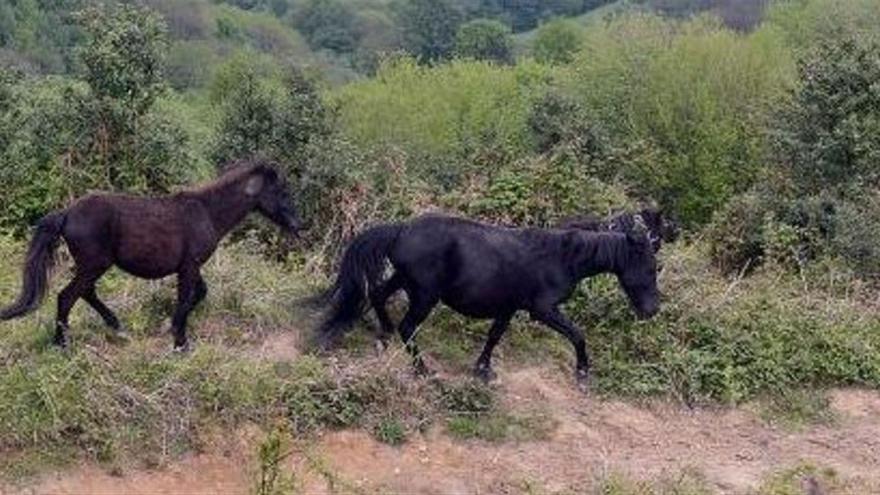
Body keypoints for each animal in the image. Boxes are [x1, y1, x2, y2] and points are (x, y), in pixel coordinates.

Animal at [0, 158, 300, 348]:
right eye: (281, 191)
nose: (299, 225)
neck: (206, 211)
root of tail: (67, 213)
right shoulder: (189, 267)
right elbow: (185, 299)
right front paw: (180, 343)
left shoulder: (191, 267)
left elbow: (199, 294)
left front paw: (171, 328)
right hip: (94, 265)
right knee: (67, 297)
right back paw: (61, 344)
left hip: (93, 266)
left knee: (85, 293)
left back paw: (116, 327)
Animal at [318, 215, 660, 386]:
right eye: (650, 268)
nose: (652, 309)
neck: (563, 258)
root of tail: (402, 230)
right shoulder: (543, 309)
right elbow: (578, 335)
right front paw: (583, 373)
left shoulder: (509, 306)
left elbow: (494, 336)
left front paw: (482, 369)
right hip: (425, 294)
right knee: (408, 327)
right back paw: (423, 370)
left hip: (403, 280)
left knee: (377, 296)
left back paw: (383, 337)